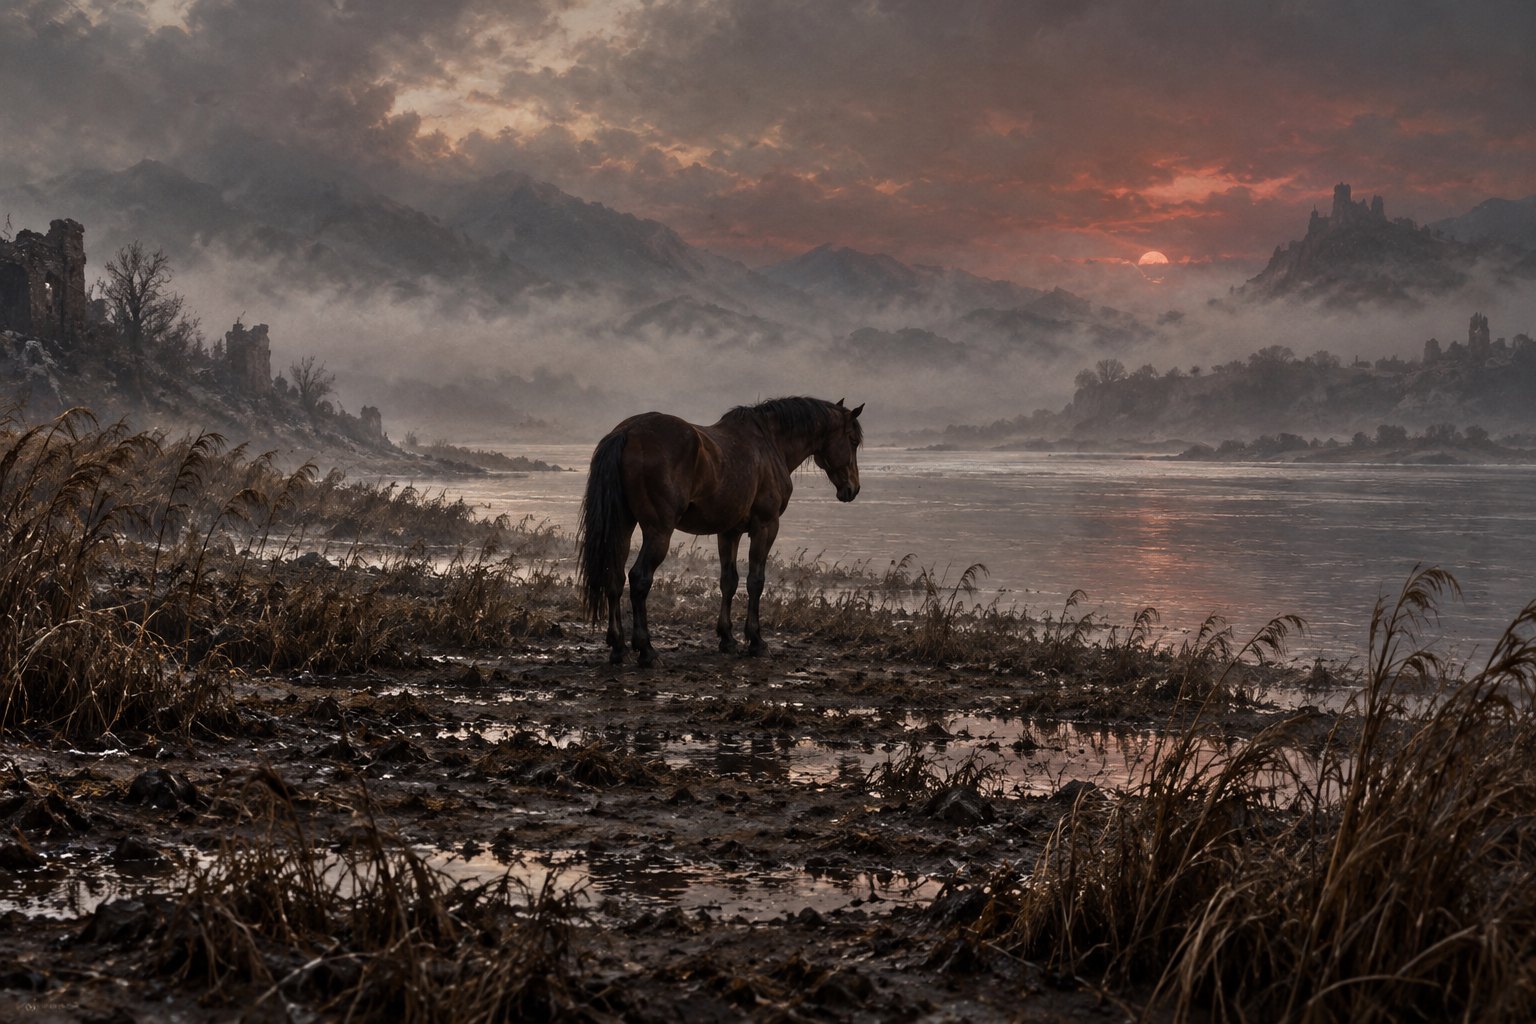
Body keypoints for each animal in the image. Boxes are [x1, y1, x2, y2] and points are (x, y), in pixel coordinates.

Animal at [578, 396, 864, 667]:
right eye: (852, 440)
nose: (853, 488)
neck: (770, 444)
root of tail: (627, 432)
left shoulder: (729, 532)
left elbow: (729, 581)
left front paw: (727, 638)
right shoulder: (765, 526)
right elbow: (755, 580)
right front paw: (756, 641)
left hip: (623, 527)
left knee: (614, 578)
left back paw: (618, 648)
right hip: (658, 531)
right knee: (639, 579)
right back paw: (646, 650)